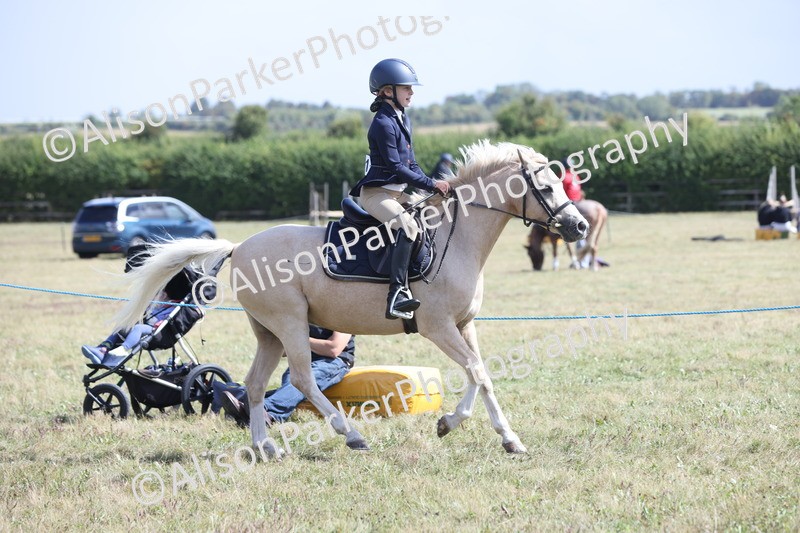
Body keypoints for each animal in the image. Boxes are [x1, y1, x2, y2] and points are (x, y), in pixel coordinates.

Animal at [114, 141, 589, 457]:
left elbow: (481, 373)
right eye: (548, 188)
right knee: (302, 379)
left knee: (253, 385)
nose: (580, 227)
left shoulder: (463, 325)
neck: (456, 238)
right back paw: (352, 435)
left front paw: (488, 433)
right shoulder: (438, 327)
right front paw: (473, 429)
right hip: (290, 324)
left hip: (269, 332)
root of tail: (240, 247)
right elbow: (476, 372)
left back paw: (266, 447)